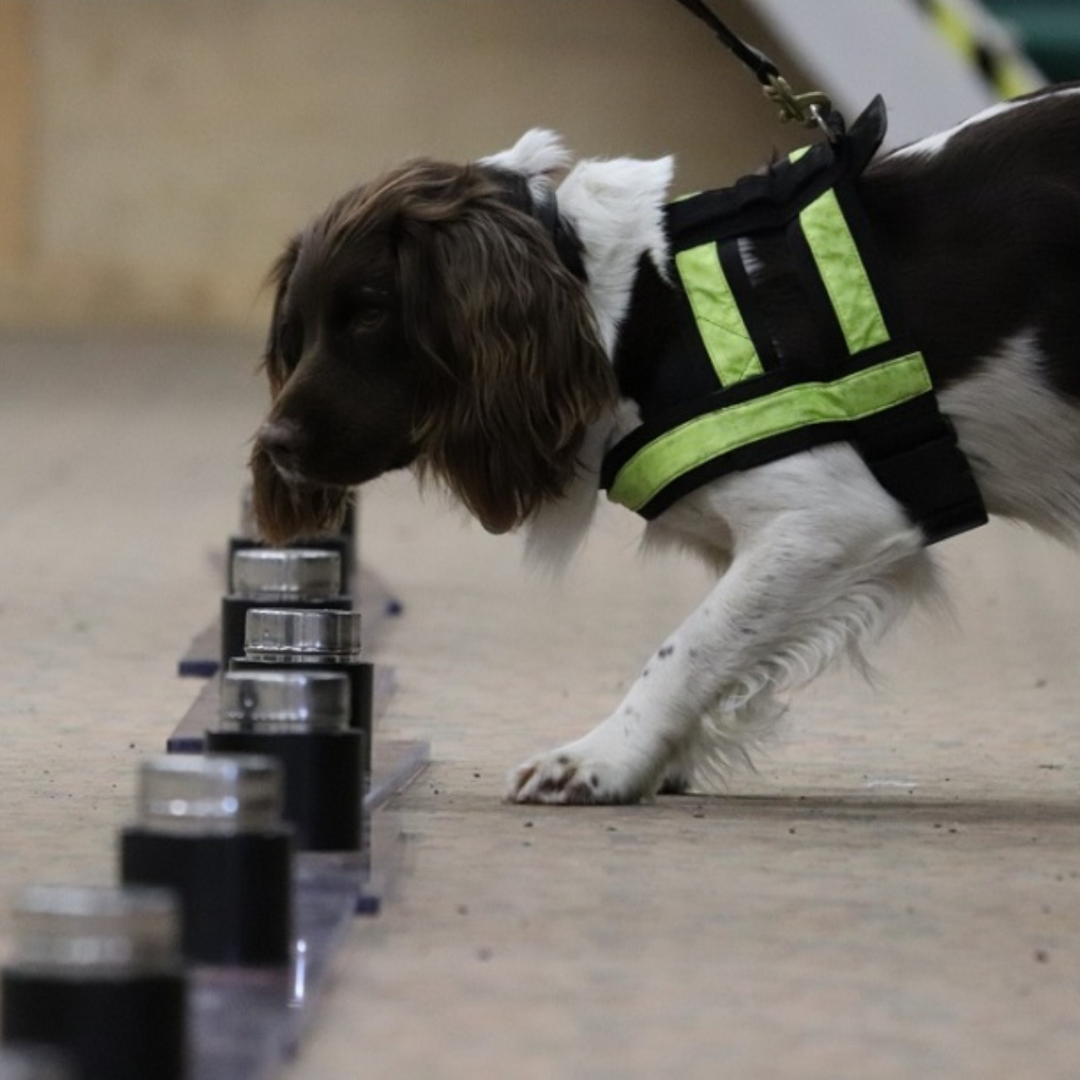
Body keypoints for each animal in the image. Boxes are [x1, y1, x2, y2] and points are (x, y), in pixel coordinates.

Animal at [250, 84, 1080, 803]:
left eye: (368, 314)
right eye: (297, 329)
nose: (276, 444)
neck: (622, 312)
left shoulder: (830, 522)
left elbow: (688, 649)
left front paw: (601, 758)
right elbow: (719, 658)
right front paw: (654, 759)